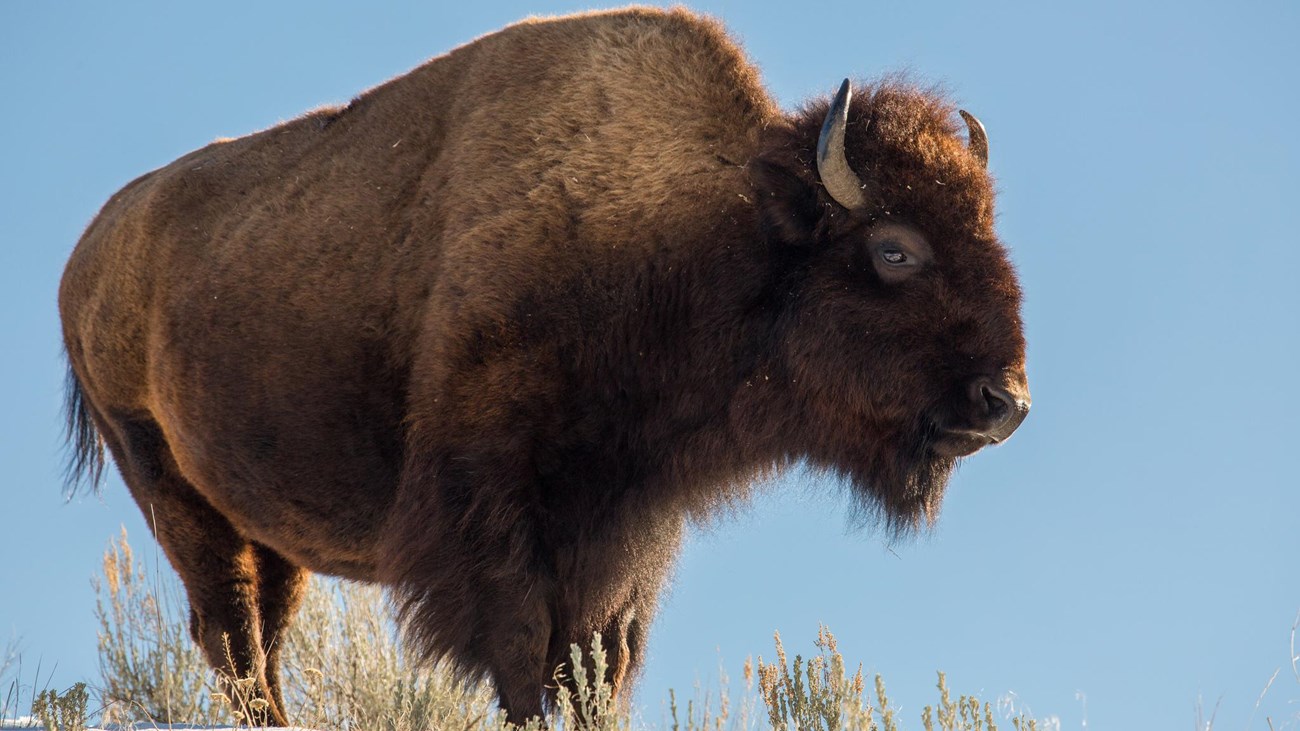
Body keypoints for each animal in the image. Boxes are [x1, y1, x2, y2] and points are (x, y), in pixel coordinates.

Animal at [61, 5, 1029, 723]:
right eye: (895, 249)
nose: (1006, 400)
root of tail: (89, 255)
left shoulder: (625, 532)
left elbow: (601, 664)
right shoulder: (497, 515)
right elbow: (526, 660)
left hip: (267, 531)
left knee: (254, 636)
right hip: (174, 496)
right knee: (233, 641)